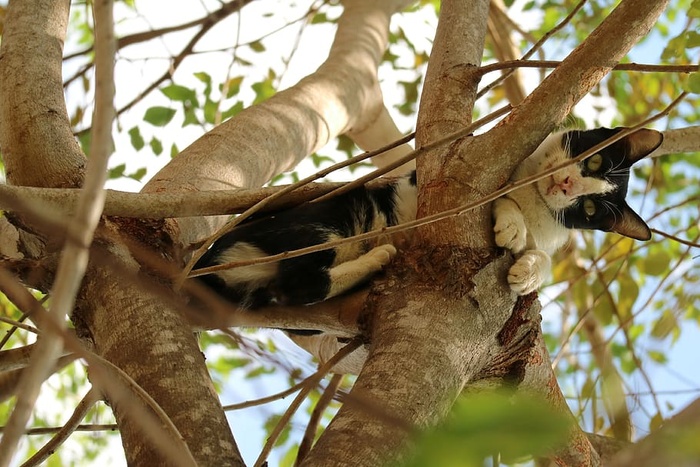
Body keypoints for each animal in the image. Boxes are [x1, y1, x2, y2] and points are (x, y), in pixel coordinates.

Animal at [196, 126, 660, 308]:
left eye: (589, 210)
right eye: (595, 160)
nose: (565, 186)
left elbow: (542, 254)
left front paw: (527, 272)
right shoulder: (425, 182)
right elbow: (492, 196)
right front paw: (511, 222)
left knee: (291, 290)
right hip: (328, 218)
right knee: (302, 278)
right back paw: (378, 256)